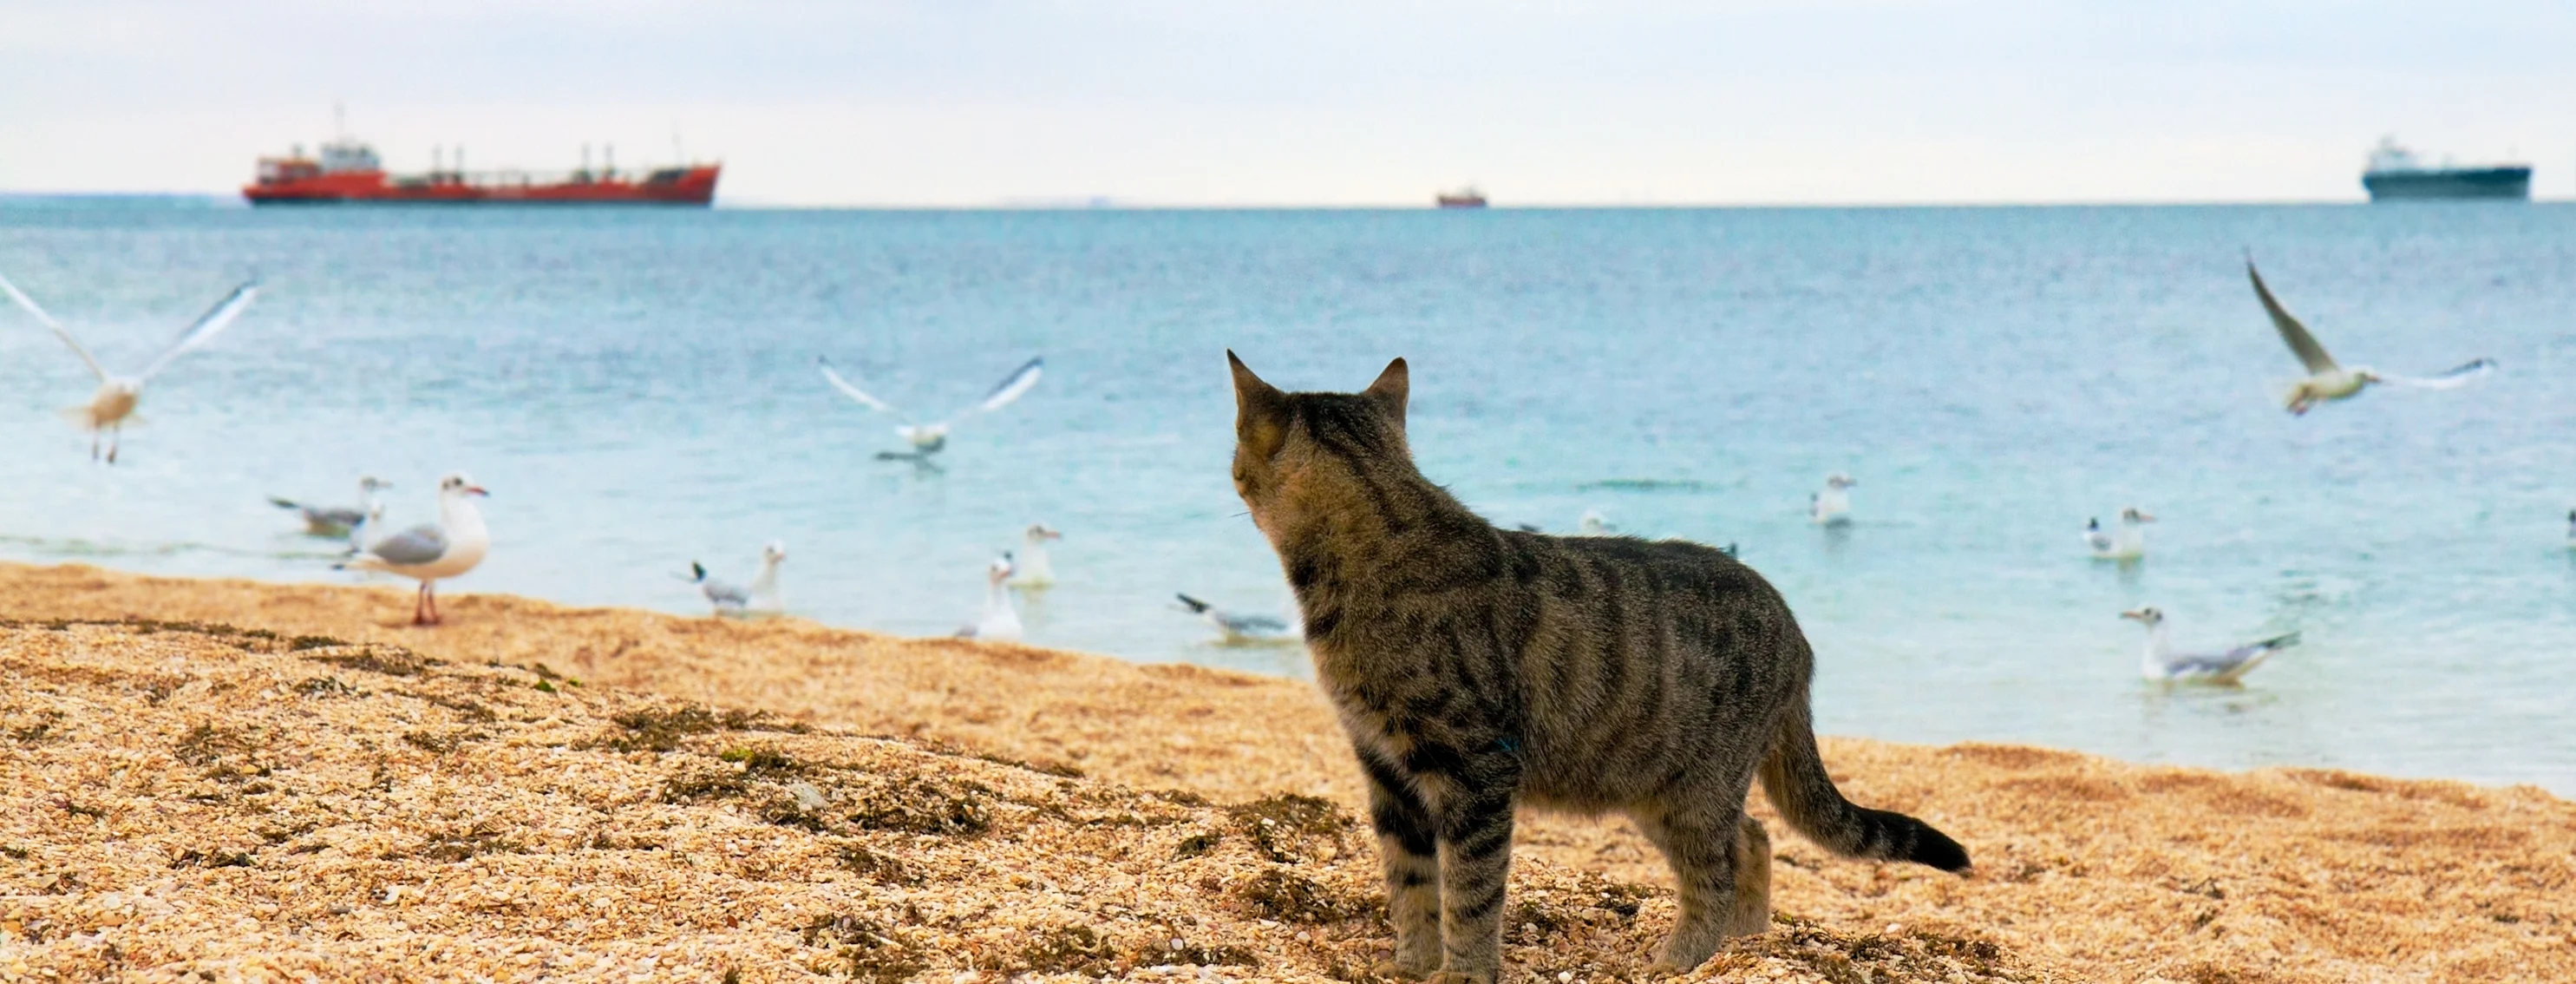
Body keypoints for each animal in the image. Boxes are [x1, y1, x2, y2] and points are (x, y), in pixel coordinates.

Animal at [1226, 352, 1968, 979]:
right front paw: (1412, 965)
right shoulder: (1386, 769)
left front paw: (1462, 971)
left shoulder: (1476, 770)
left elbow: (1469, 889)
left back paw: (1686, 958)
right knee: (1754, 839)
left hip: (1689, 791)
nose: (1229, 474)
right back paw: (1746, 944)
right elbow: (1410, 884)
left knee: (1718, 870)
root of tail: (1794, 626)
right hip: (1662, 786)